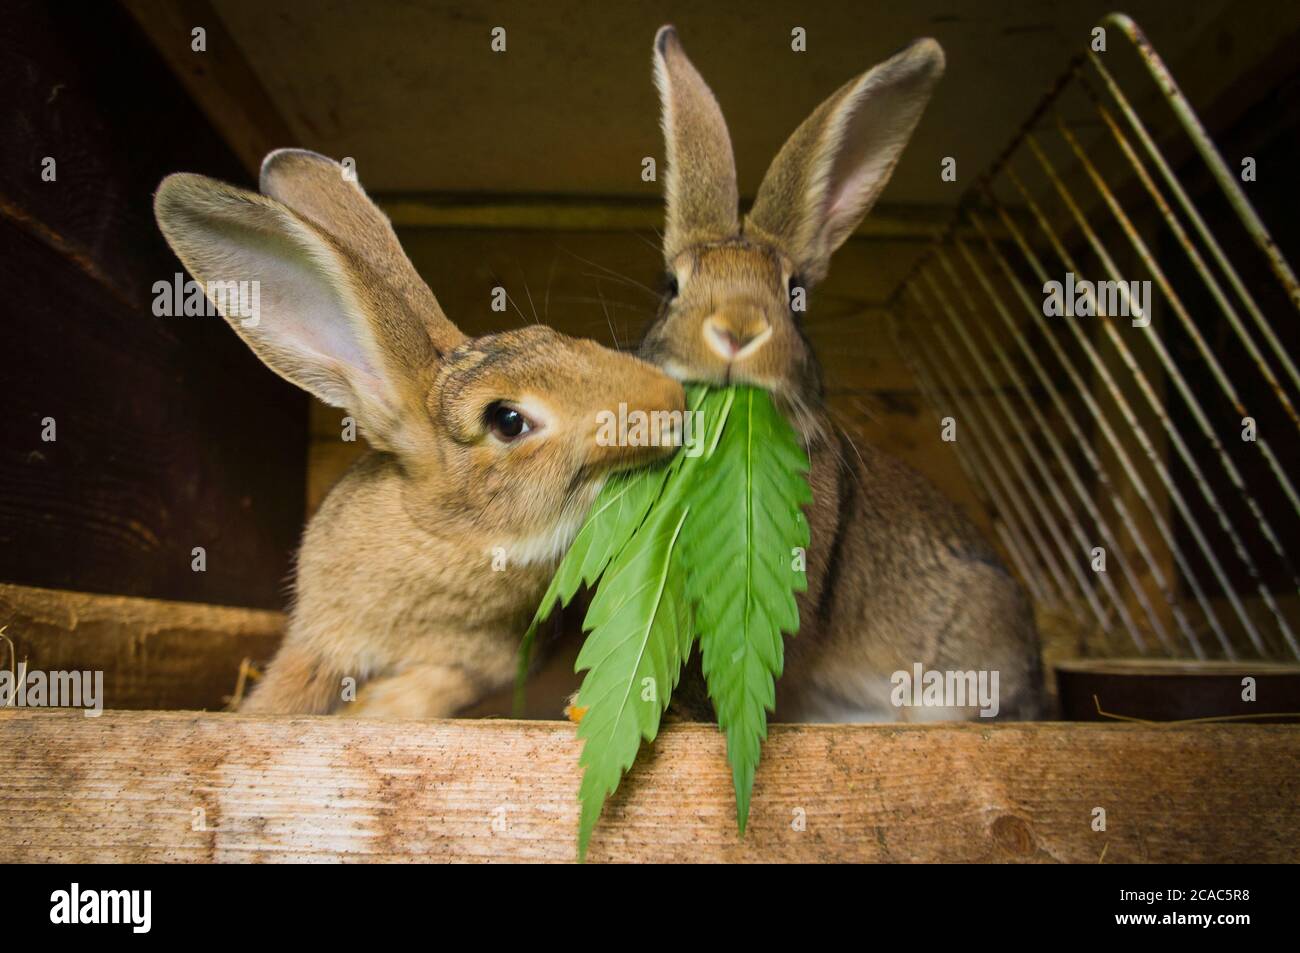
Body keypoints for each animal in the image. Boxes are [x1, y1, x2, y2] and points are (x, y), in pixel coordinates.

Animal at [154, 148, 685, 718]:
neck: (443, 534)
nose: (672, 402)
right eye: (507, 420)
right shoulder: (322, 642)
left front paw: (373, 707)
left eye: (555, 334)